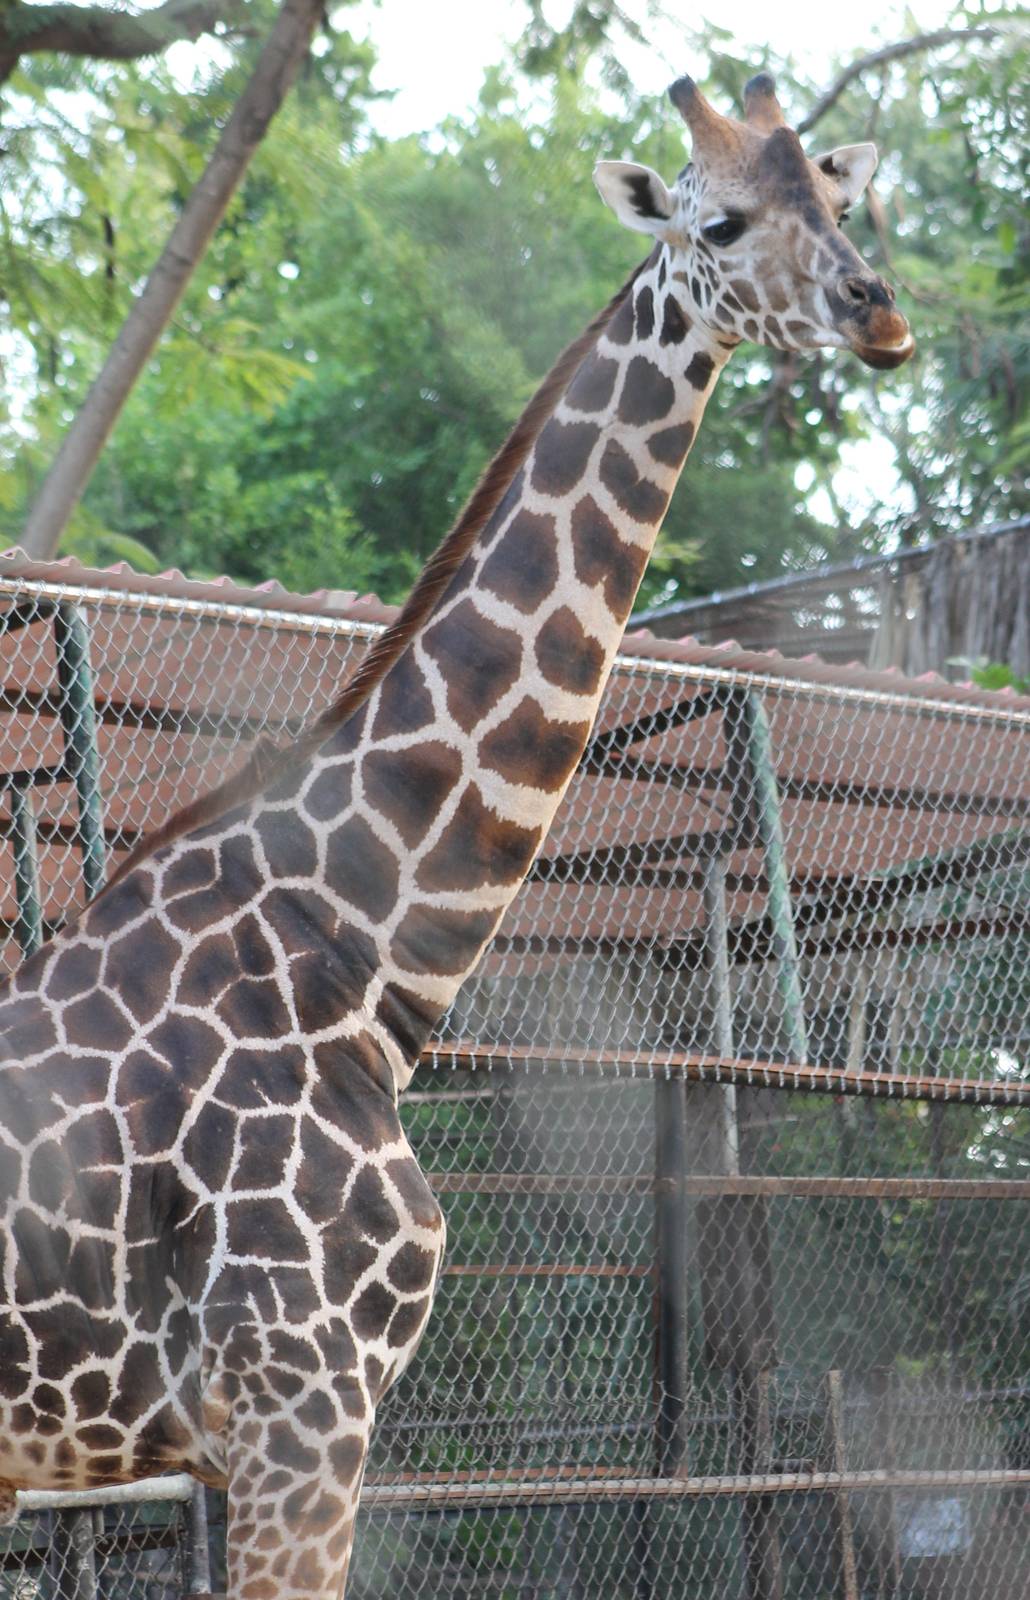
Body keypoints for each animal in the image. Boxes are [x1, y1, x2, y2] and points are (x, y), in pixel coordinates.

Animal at [0, 73, 912, 1598]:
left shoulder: (265, 1434)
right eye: (717, 220)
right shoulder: (297, 1414)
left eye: (839, 200)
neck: (358, 947)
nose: (875, 310)